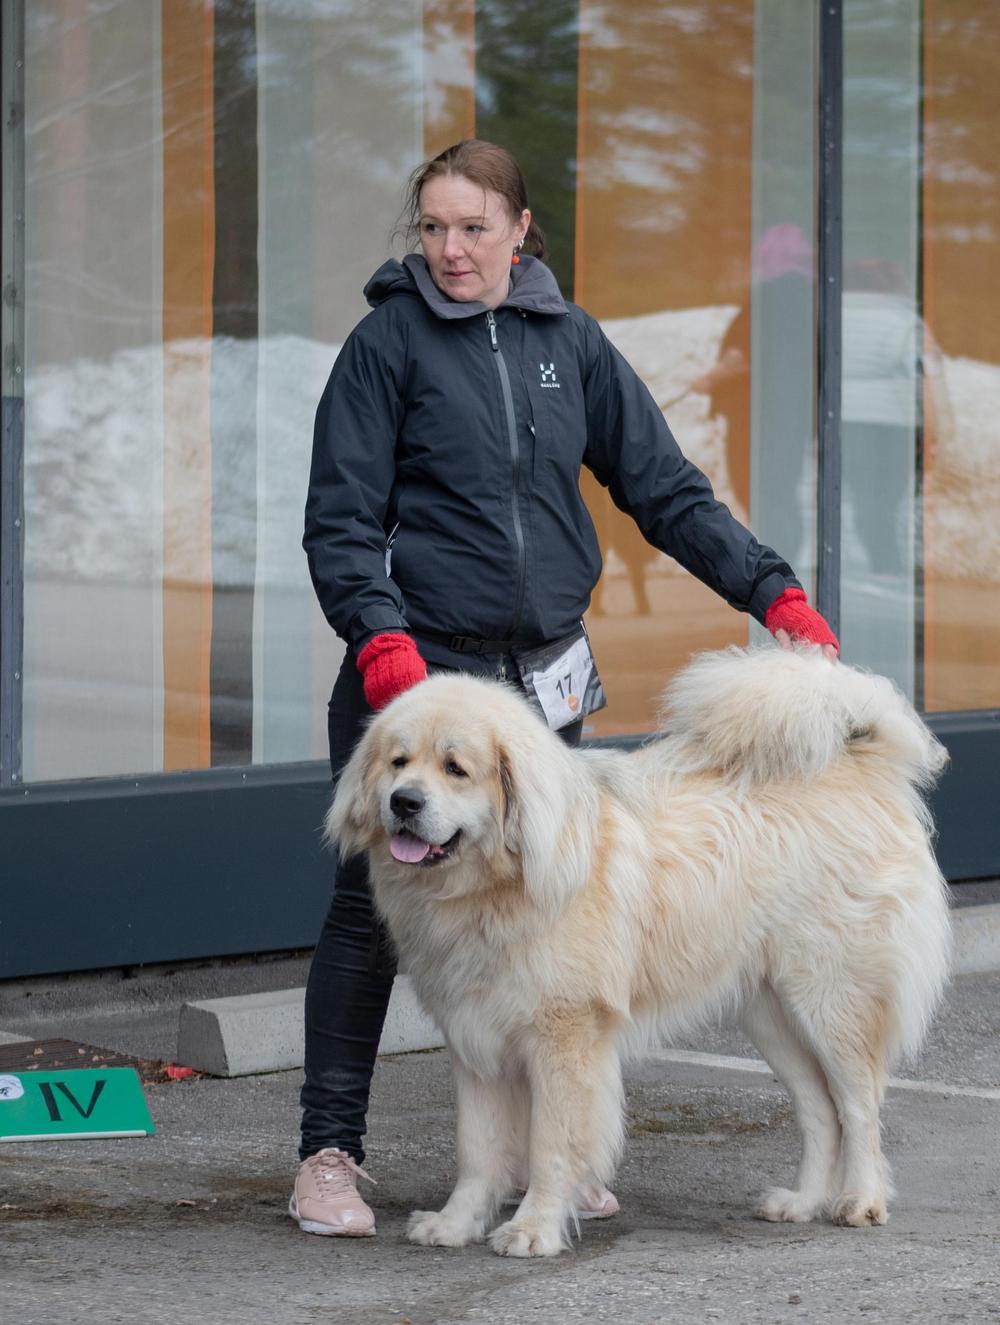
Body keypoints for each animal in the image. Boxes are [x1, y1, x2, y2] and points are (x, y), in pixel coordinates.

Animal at [326, 645, 951, 1258]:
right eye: (398, 763)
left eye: (455, 769)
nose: (404, 802)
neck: (496, 888)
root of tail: (856, 758)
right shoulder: (475, 1039)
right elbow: (477, 1150)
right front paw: (456, 1224)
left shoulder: (564, 1039)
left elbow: (551, 1145)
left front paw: (534, 1229)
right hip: (770, 1013)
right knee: (820, 1110)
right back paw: (801, 1202)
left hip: (829, 1002)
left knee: (859, 1104)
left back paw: (860, 1200)